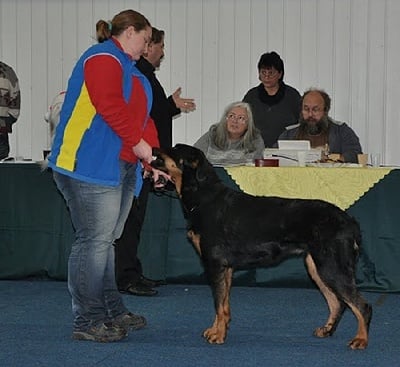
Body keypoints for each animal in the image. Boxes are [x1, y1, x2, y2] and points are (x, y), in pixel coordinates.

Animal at [152, 142, 372, 350]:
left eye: (174, 149)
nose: (153, 149)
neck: (203, 198)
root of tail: (349, 221)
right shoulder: (226, 267)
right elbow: (224, 305)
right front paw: (217, 330)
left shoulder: (215, 264)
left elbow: (218, 304)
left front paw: (218, 336)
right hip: (317, 266)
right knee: (337, 303)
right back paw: (327, 330)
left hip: (332, 266)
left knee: (362, 306)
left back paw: (360, 339)